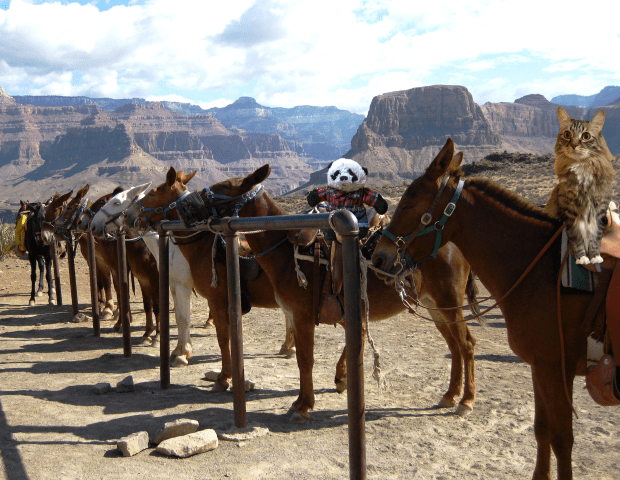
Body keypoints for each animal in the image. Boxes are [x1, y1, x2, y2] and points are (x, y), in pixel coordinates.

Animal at [144, 165, 480, 421]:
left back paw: (465, 400)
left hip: (447, 303)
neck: (283, 249)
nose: (184, 207)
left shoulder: (293, 314)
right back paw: (450, 395)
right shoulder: (286, 313)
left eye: (224, 187)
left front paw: (302, 405)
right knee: (454, 346)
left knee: (465, 344)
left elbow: (300, 359)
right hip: (435, 307)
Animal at [371, 137, 602, 480]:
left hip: (446, 306)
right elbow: (542, 429)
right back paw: (453, 395)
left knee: (465, 344)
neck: (540, 268)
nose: (379, 257)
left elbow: (562, 439)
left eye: (410, 203)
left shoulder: (554, 368)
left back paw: (464, 399)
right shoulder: (542, 367)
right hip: (439, 308)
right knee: (458, 346)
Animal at [545, 107, 616, 265]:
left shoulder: (599, 212)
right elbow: (577, 238)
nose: (573, 145)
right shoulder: (570, 213)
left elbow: (595, 238)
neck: (583, 166)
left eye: (586, 136)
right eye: (567, 134)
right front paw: (582, 258)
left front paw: (595, 257)